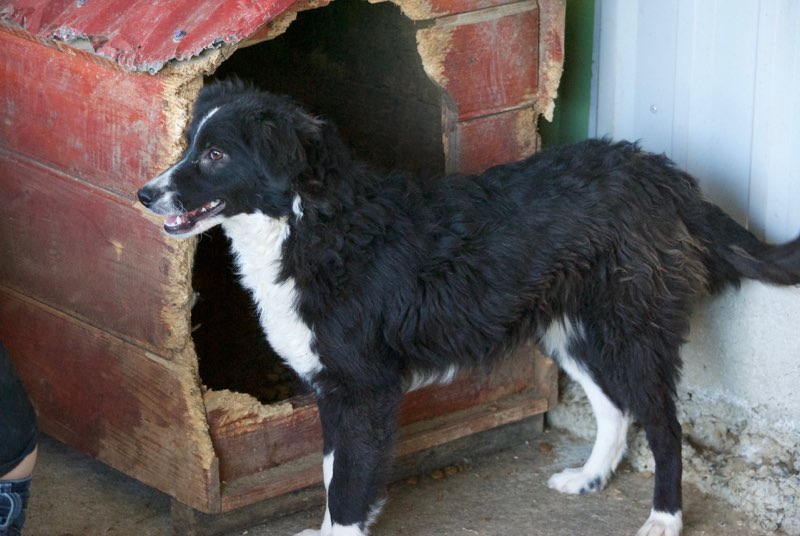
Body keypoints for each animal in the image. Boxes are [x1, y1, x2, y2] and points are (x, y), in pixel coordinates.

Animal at [138, 80, 800, 536]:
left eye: (217, 156)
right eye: (191, 145)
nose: (144, 194)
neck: (313, 224)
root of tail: (660, 174)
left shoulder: (362, 389)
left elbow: (346, 485)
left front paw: (341, 527)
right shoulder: (336, 387)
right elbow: (331, 474)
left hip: (630, 332)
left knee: (664, 426)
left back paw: (665, 518)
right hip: (575, 331)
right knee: (616, 409)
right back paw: (588, 478)